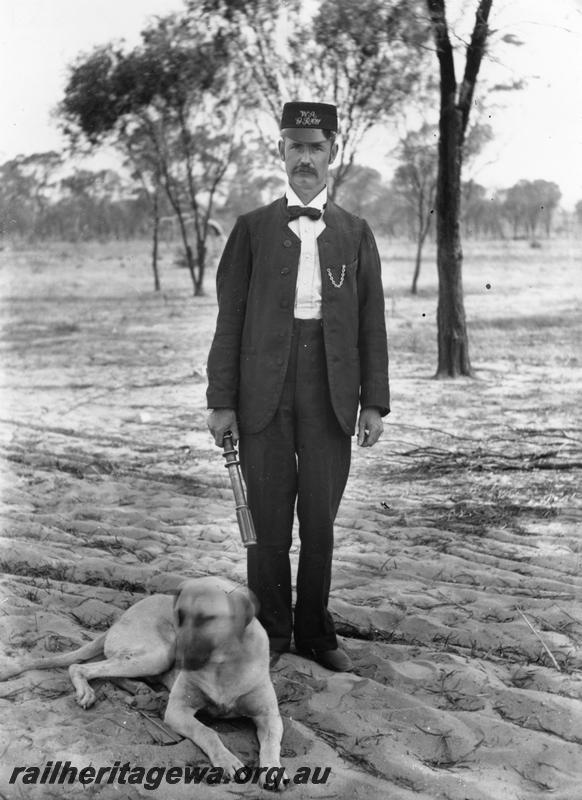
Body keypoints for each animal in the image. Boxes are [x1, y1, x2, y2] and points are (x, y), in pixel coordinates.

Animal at [1, 580, 290, 792]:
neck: (223, 663)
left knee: (111, 670)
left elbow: (271, 743)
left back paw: (139, 690)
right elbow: (207, 732)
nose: (181, 656)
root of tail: (120, 618)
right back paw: (89, 691)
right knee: (80, 667)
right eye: (179, 616)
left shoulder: (269, 717)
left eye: (207, 618)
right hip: (158, 654)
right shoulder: (178, 711)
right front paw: (227, 760)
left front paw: (273, 769)